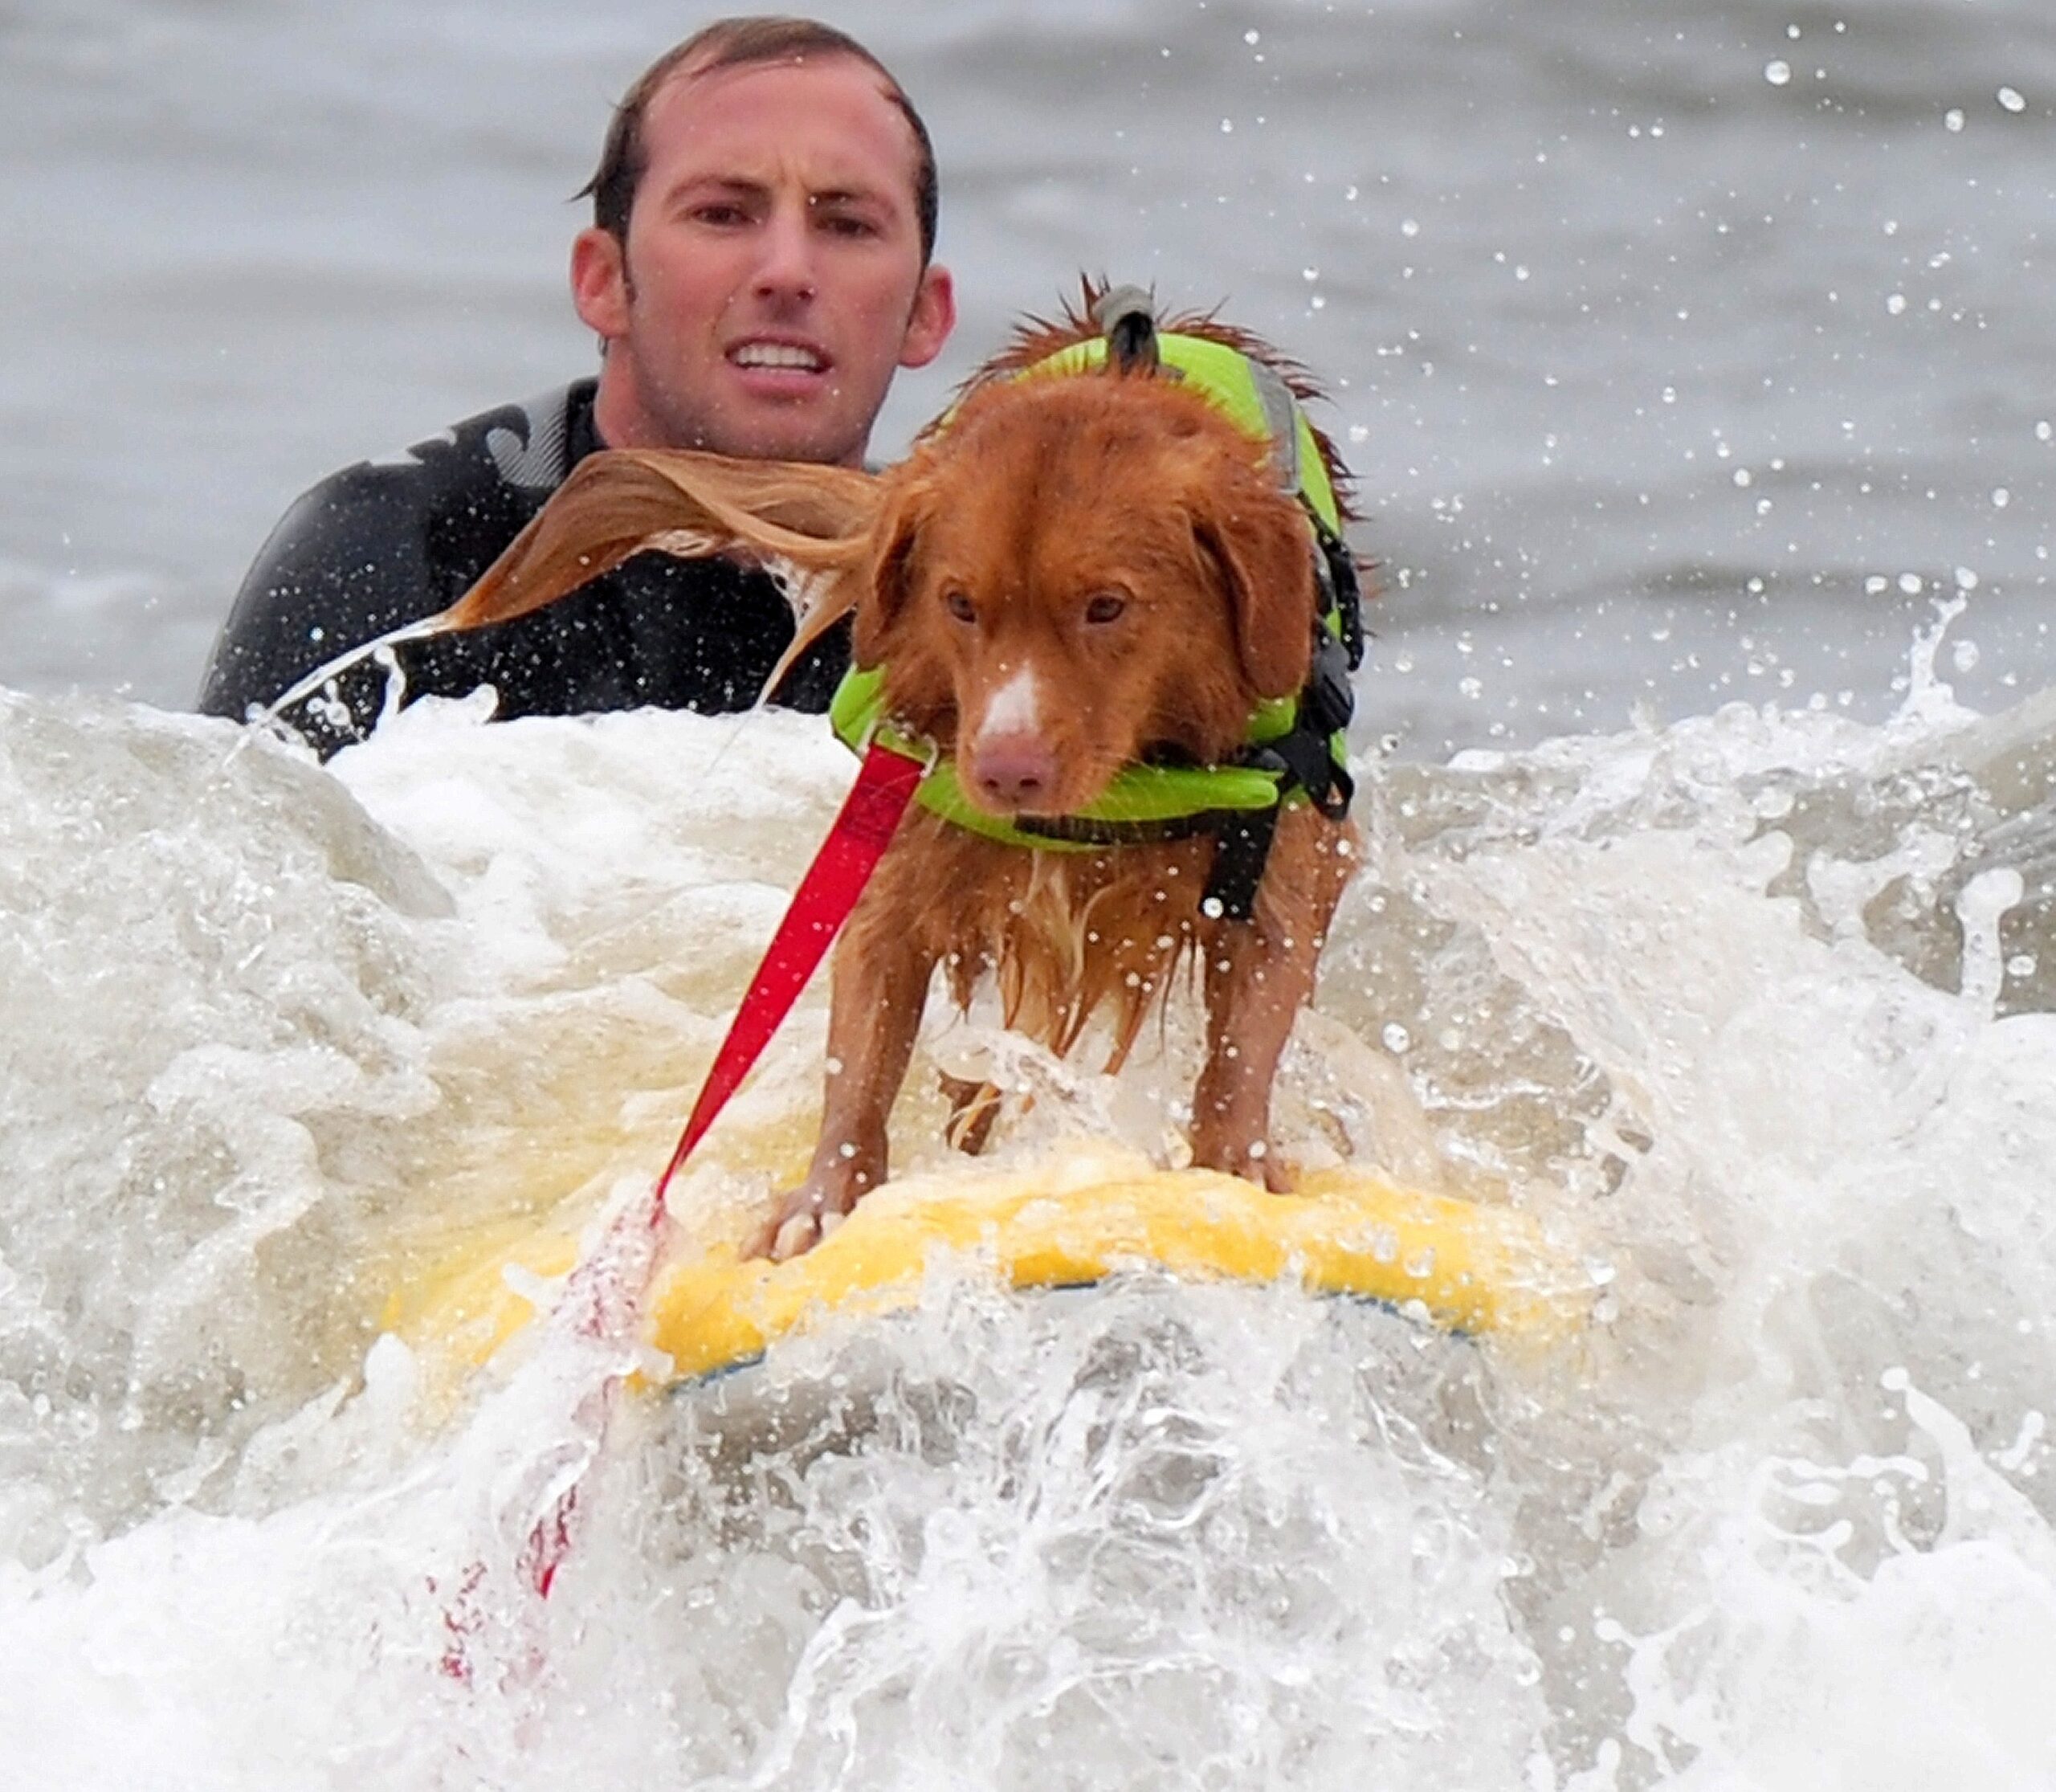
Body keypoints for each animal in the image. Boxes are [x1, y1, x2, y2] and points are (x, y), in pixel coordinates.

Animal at [435, 290, 1365, 1259]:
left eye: (1107, 606)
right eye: (959, 603)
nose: (1005, 772)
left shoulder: (1282, 871)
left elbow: (1244, 1042)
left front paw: (1233, 1162)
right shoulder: (900, 853)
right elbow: (864, 1045)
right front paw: (825, 1197)